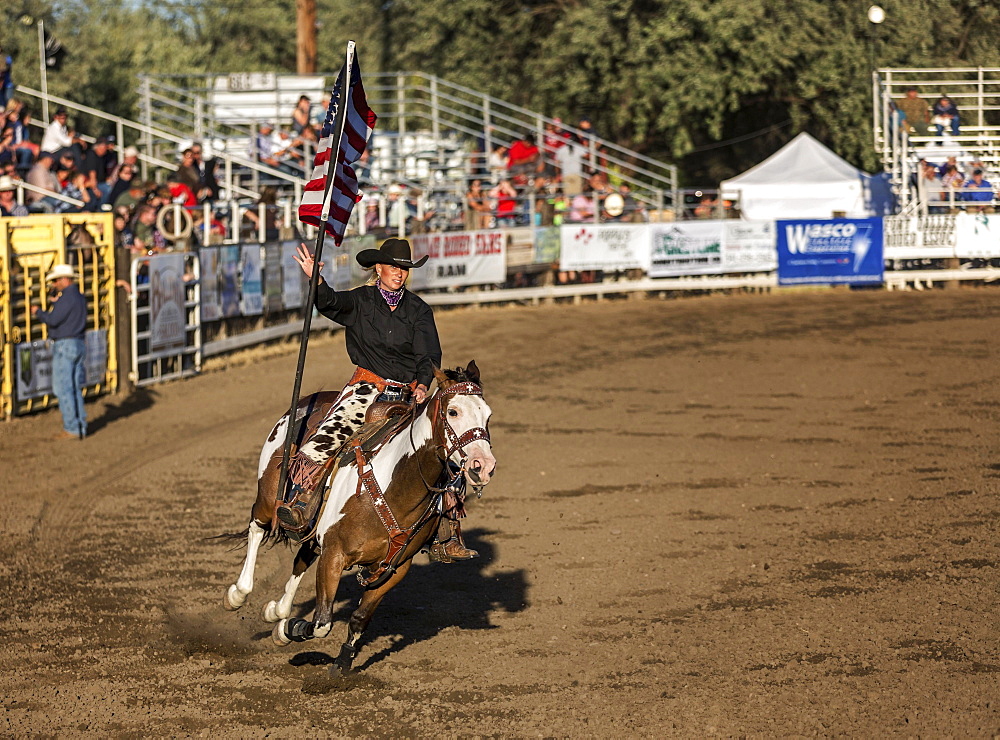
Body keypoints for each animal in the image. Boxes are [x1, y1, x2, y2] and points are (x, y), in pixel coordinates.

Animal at [223, 362, 496, 672]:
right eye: (453, 412)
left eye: (487, 414)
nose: (483, 466)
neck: (396, 488)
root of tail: (306, 401)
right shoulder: (334, 555)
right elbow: (321, 623)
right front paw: (287, 630)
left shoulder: (395, 568)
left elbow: (359, 619)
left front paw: (341, 665)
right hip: (269, 498)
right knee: (257, 529)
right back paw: (239, 594)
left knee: (302, 556)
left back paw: (276, 610)